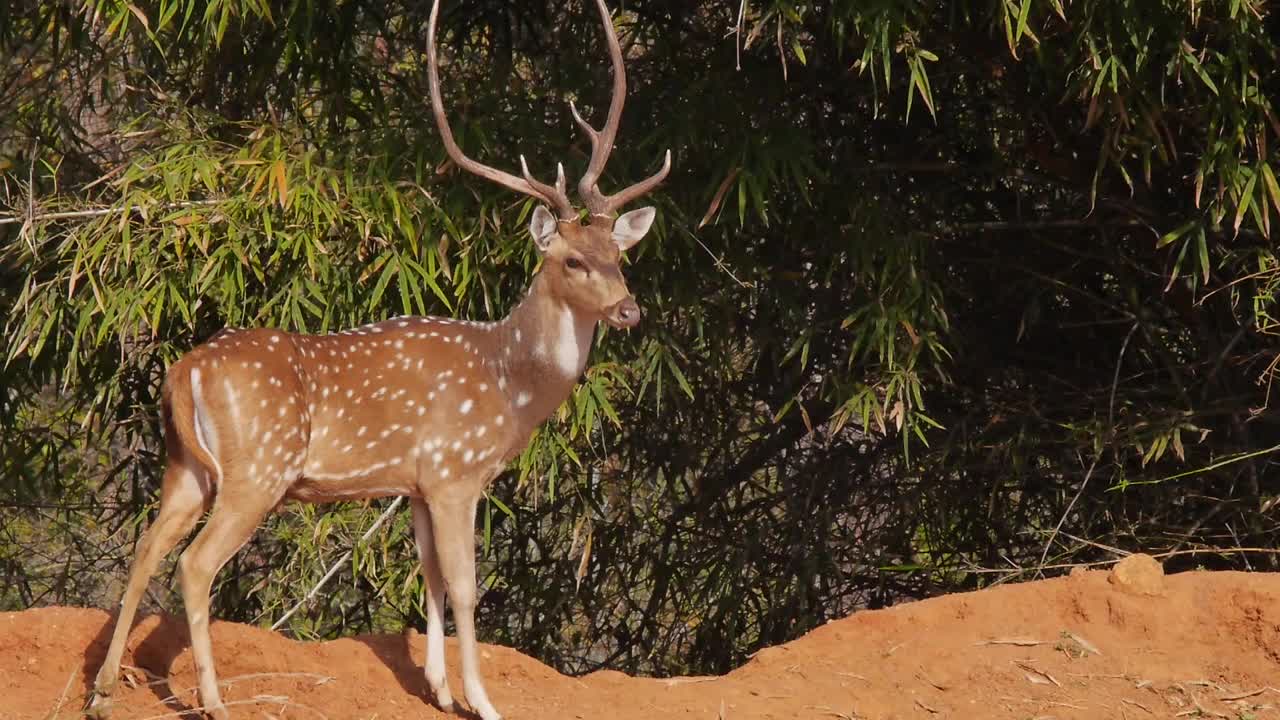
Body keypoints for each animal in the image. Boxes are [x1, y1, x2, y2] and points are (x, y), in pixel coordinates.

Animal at [86, 1, 670, 717]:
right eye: (572, 261)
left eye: (619, 256)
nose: (629, 311)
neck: (510, 385)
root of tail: (183, 370)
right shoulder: (454, 469)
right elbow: (467, 584)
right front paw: (483, 700)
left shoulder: (414, 484)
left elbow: (431, 578)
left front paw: (439, 689)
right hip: (259, 466)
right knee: (195, 564)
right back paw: (215, 701)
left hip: (186, 465)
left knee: (145, 546)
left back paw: (102, 691)